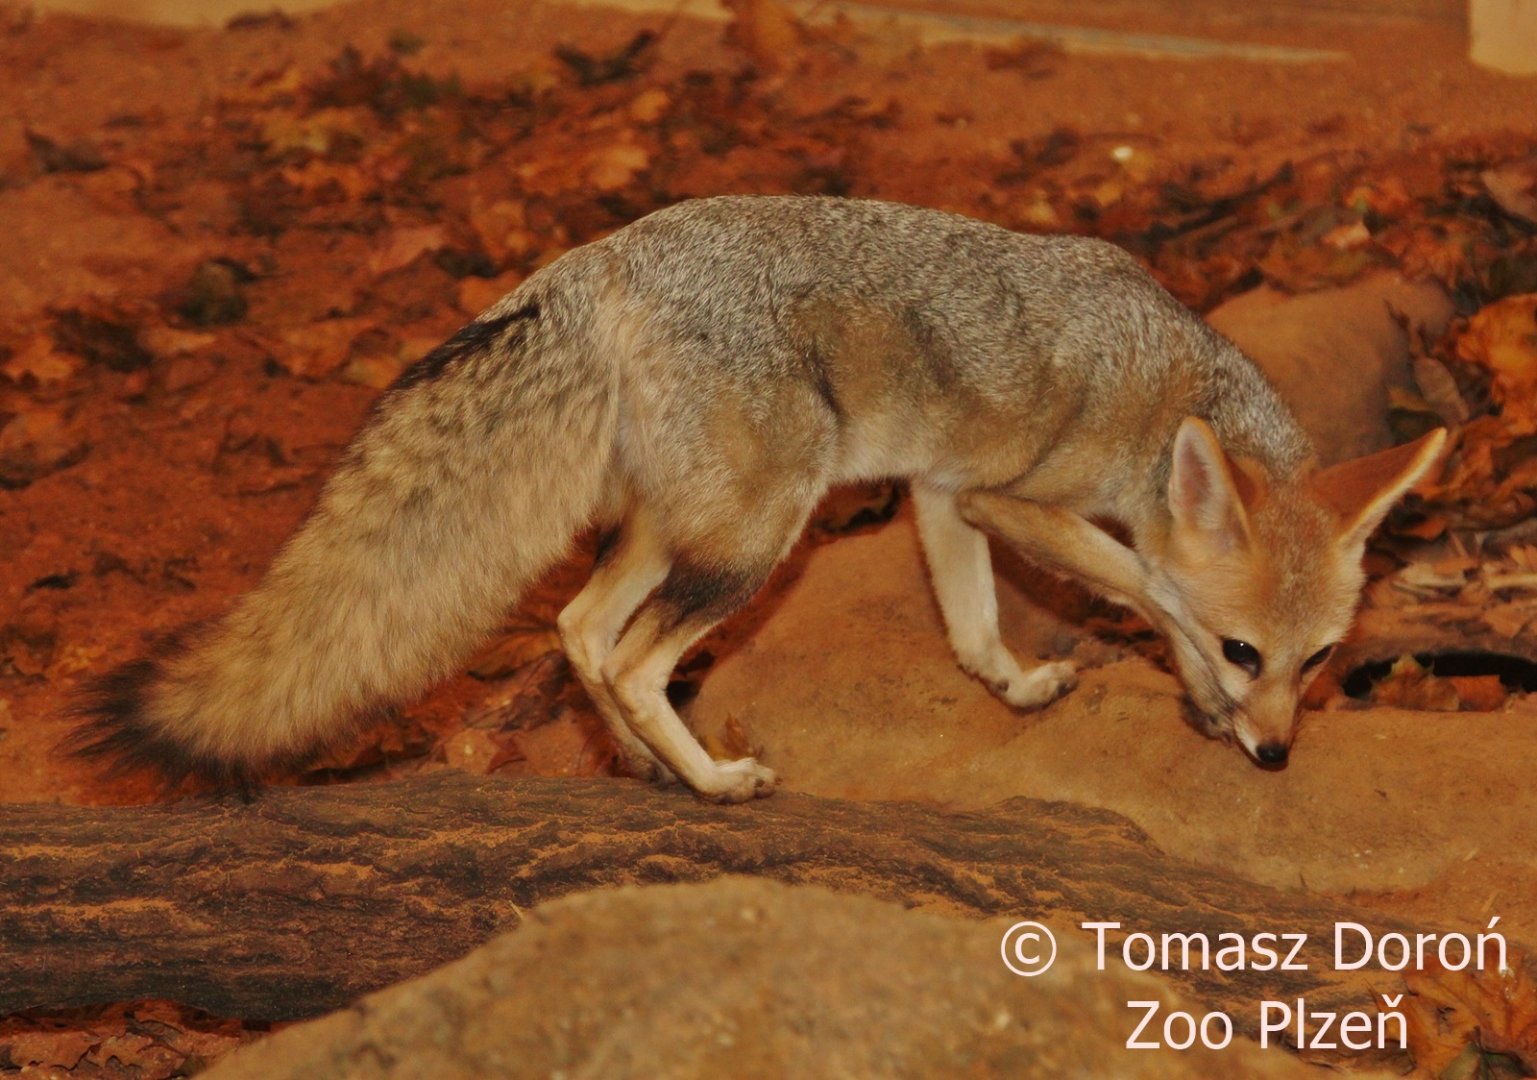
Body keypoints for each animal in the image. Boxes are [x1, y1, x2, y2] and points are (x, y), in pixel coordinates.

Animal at [74, 195, 1446, 803]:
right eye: (1250, 648)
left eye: (1323, 659)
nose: (1277, 754)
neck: (1165, 387)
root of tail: (597, 261)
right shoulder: (1009, 502)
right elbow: (1144, 584)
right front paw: (1194, 692)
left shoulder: (940, 495)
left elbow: (970, 632)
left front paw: (1016, 687)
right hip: (754, 542)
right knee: (631, 656)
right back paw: (712, 781)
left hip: (679, 534)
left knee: (578, 631)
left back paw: (647, 770)